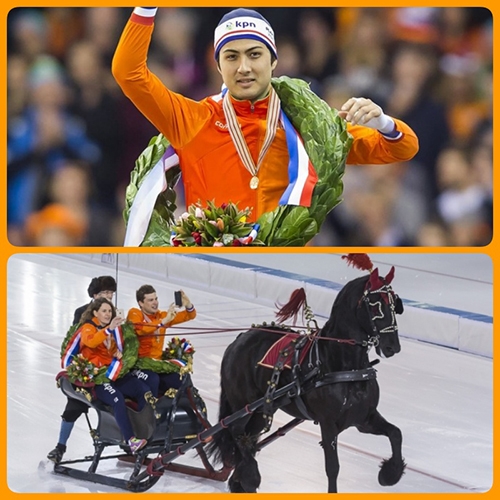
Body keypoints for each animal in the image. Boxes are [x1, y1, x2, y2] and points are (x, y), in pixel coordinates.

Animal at [207, 254, 406, 492]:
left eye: (396, 306)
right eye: (375, 307)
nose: (392, 346)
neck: (345, 366)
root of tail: (239, 339)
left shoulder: (363, 419)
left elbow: (396, 434)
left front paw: (390, 474)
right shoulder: (328, 423)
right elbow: (333, 468)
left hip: (260, 411)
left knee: (248, 439)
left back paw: (240, 480)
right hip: (243, 406)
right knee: (237, 433)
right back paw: (250, 476)